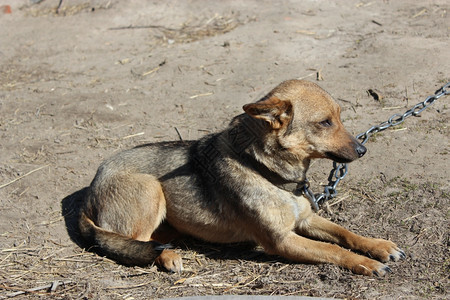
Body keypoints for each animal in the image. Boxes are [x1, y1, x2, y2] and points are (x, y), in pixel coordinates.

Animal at [79, 79, 406, 276]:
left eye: (339, 116)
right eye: (325, 122)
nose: (363, 150)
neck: (265, 171)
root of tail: (90, 191)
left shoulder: (305, 220)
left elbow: (344, 233)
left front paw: (378, 246)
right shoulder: (282, 241)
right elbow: (333, 249)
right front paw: (365, 262)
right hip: (150, 188)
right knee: (134, 241)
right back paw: (168, 256)